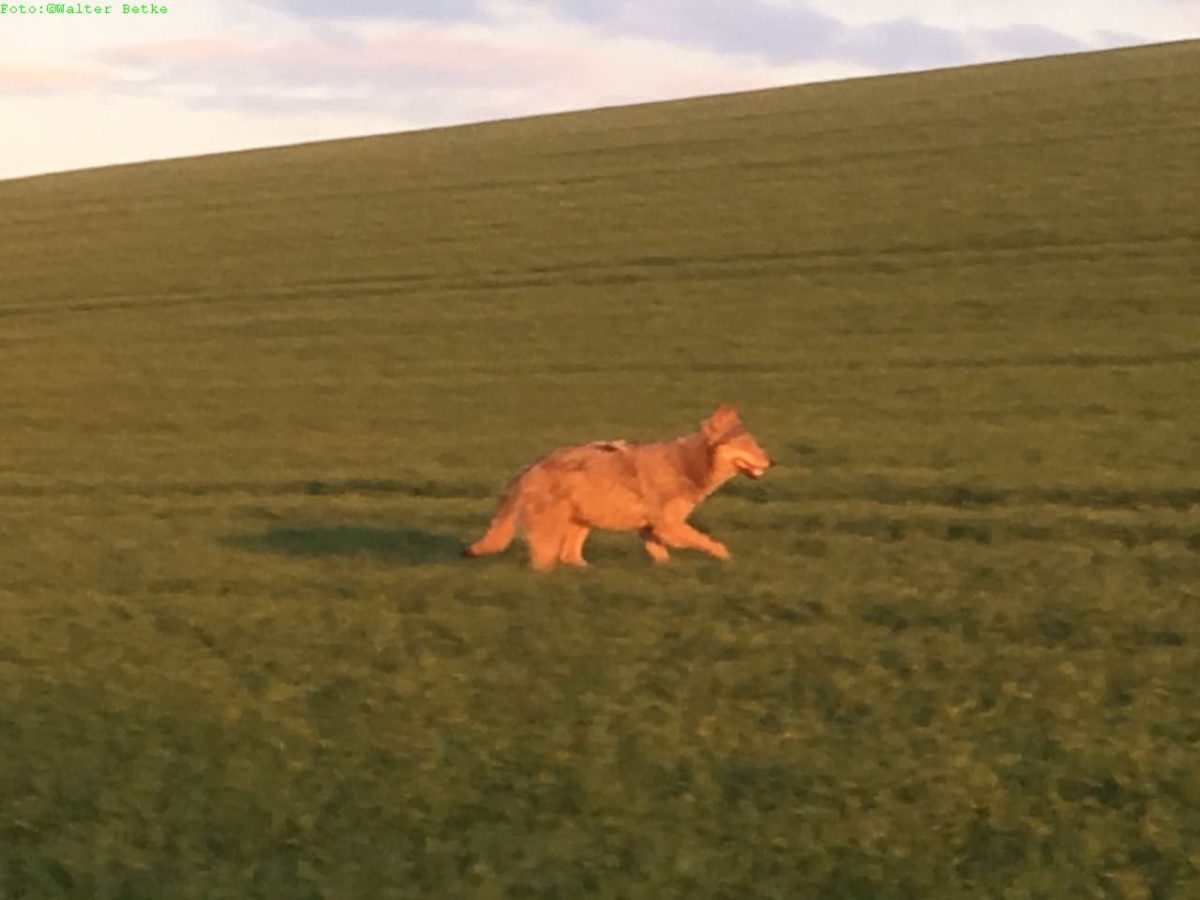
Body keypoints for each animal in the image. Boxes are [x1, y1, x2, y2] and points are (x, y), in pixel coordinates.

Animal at [464, 404, 774, 571]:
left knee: (570, 557)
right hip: (553, 533)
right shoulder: (668, 526)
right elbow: (713, 543)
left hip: (582, 524)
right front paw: (729, 560)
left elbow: (662, 556)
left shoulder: (651, 529)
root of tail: (527, 469)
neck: (687, 464)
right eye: (750, 446)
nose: (772, 461)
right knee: (544, 563)